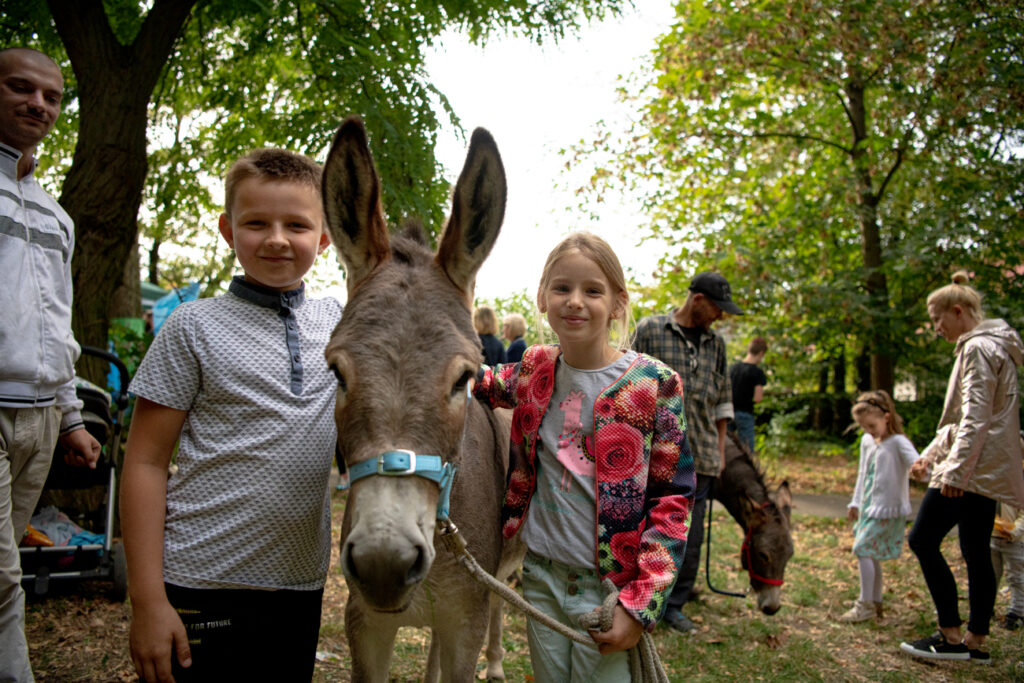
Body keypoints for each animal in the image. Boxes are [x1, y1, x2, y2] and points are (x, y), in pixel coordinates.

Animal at [321, 116, 522, 682]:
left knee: (502, 604)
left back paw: (498, 664)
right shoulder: (365, 621)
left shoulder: (466, 618)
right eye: (336, 371)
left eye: (464, 378)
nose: (384, 565)